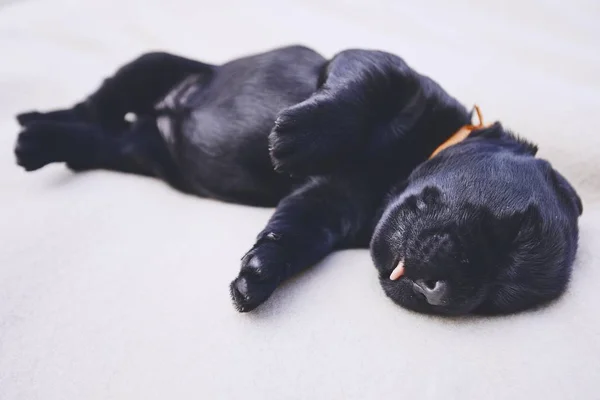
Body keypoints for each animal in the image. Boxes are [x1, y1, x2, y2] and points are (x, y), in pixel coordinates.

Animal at [14, 46, 580, 316]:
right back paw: (33, 124)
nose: (438, 294)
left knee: (97, 139)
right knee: (98, 103)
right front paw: (297, 136)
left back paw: (42, 141)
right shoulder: (386, 71)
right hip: (152, 65)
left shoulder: (328, 204)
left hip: (136, 153)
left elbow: (292, 233)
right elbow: (360, 91)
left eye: (494, 298)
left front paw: (260, 273)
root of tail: (162, 116)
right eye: (509, 227)